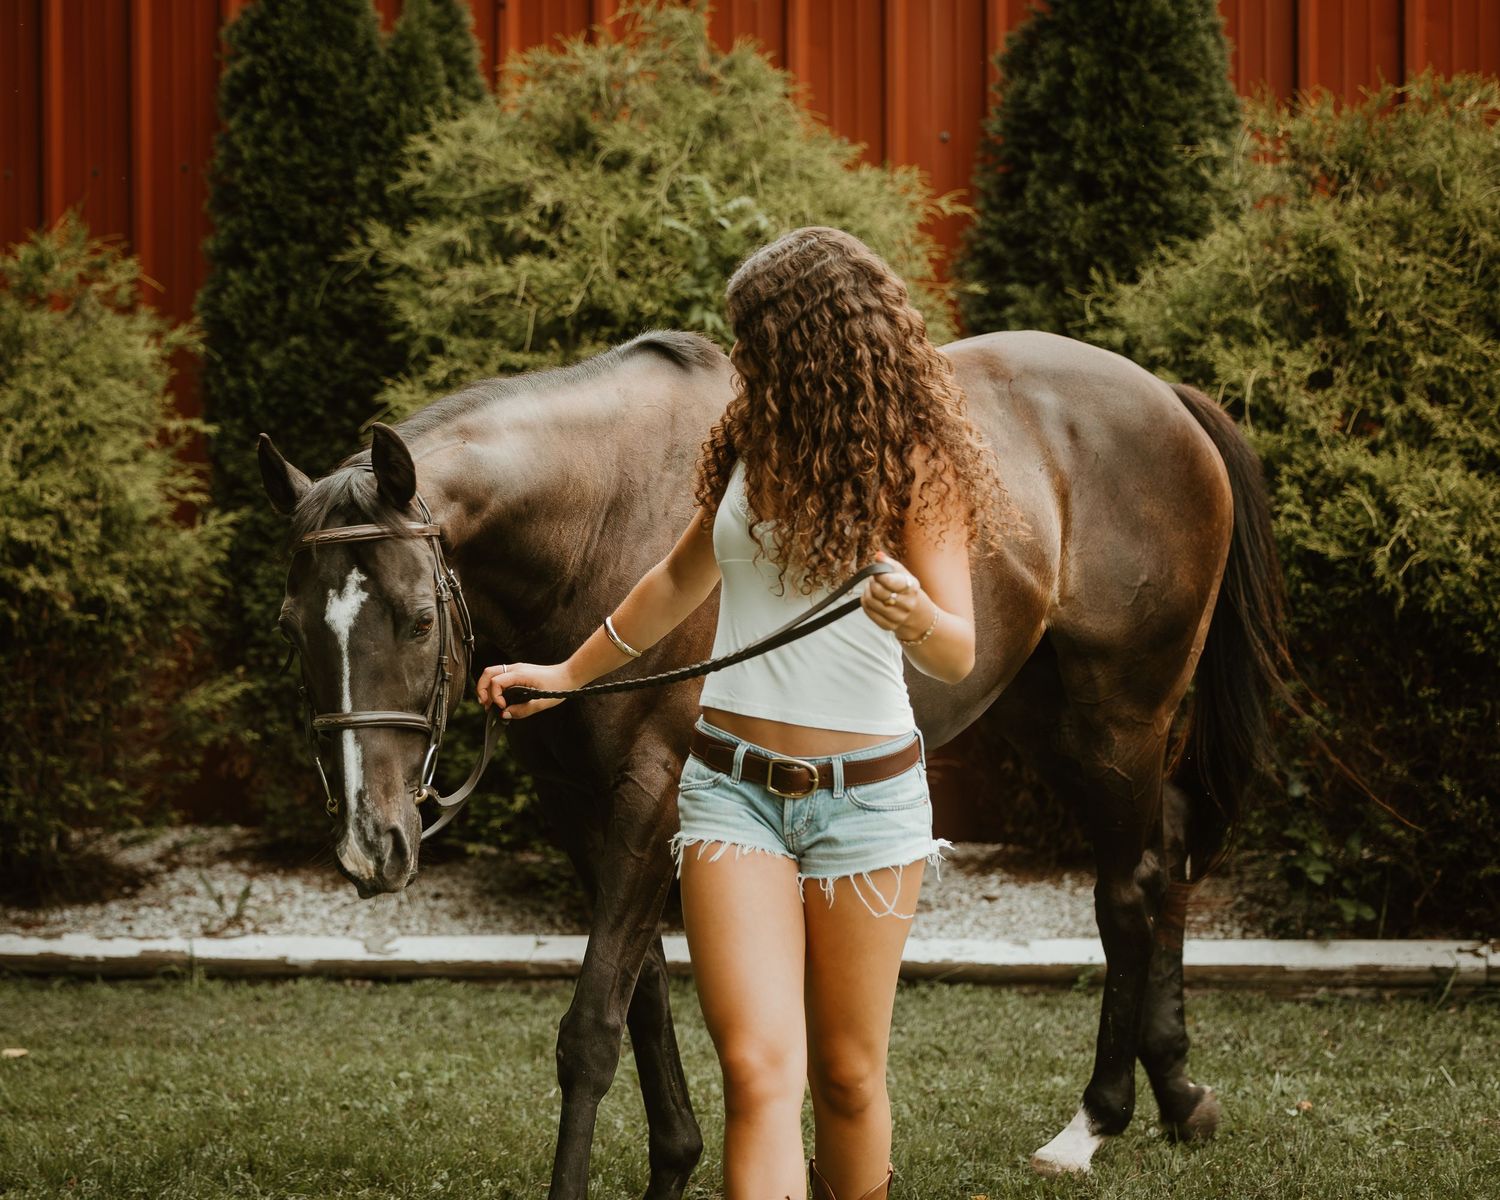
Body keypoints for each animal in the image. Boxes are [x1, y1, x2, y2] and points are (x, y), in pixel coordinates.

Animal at [259, 325, 1286, 1192]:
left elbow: (590, 1027)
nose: (371, 844)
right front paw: (675, 1163)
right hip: (1051, 714)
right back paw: (1178, 1093)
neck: (610, 513)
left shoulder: (655, 796)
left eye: (417, 619)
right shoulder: (584, 809)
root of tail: (1161, 395)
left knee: (1129, 887)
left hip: (1122, 717)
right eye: (292, 627)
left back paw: (1096, 1122)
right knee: (1171, 850)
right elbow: (640, 994)